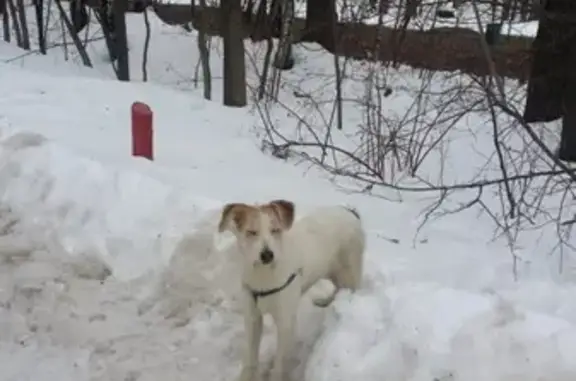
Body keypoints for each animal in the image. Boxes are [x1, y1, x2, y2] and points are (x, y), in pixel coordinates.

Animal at [217, 199, 364, 380]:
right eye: (251, 232)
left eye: (275, 230)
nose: (267, 255)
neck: (264, 276)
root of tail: (350, 212)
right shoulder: (252, 317)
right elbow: (251, 358)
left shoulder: (286, 323)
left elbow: (280, 362)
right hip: (331, 270)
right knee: (338, 288)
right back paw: (326, 301)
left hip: (349, 271)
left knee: (349, 288)